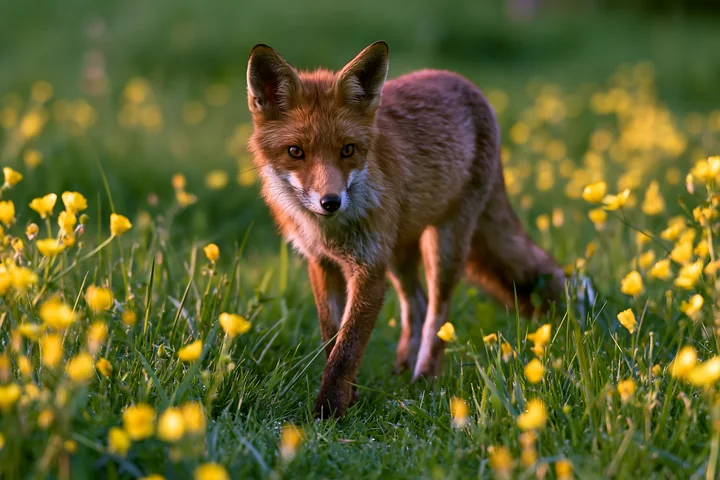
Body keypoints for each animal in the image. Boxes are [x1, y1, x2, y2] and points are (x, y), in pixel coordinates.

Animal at [246, 41, 566, 418]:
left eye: (348, 150)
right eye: (295, 152)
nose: (330, 202)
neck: (331, 232)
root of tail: (463, 82)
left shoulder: (369, 268)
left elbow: (346, 351)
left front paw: (328, 413)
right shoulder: (322, 263)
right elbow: (332, 339)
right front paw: (349, 398)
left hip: (444, 244)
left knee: (437, 315)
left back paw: (424, 378)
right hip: (398, 254)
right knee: (416, 304)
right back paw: (401, 371)